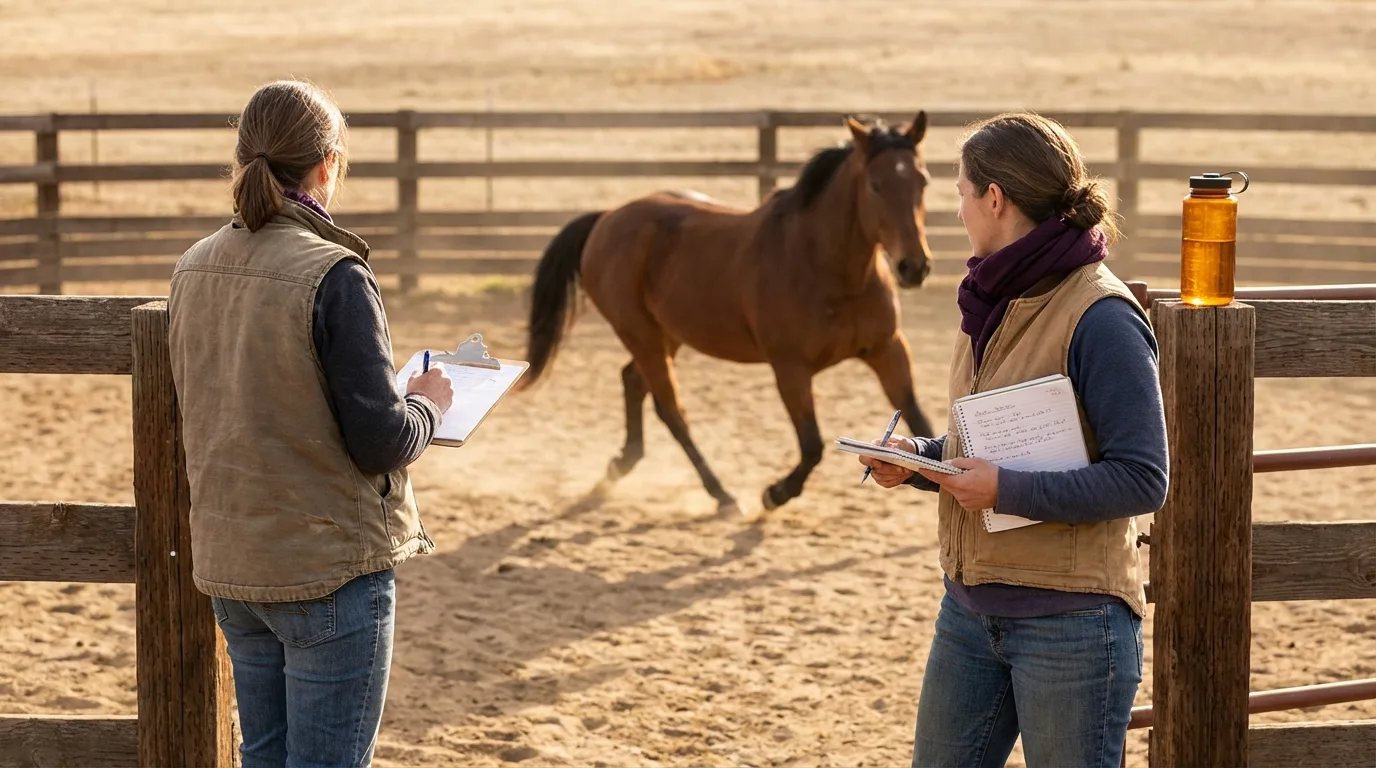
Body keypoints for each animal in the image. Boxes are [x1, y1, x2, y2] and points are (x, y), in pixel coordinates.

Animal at [518, 113, 937, 513]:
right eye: (875, 185)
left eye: (923, 181)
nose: (913, 267)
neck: (826, 269)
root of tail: (606, 218)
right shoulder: (790, 370)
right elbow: (812, 445)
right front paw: (774, 494)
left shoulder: (888, 351)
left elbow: (921, 420)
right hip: (641, 335)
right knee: (671, 409)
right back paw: (720, 494)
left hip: (666, 335)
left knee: (633, 382)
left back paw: (620, 465)